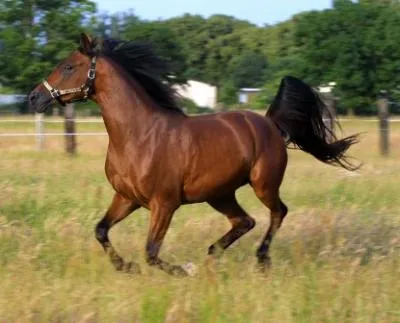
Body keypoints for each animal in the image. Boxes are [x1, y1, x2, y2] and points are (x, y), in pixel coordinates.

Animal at [28, 32, 360, 276]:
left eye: (69, 67)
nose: (34, 97)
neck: (138, 136)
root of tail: (271, 124)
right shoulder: (126, 198)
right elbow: (101, 231)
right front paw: (126, 267)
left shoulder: (164, 204)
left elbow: (151, 252)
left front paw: (183, 270)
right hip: (220, 193)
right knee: (245, 221)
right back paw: (213, 254)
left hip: (263, 184)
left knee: (278, 212)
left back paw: (261, 259)